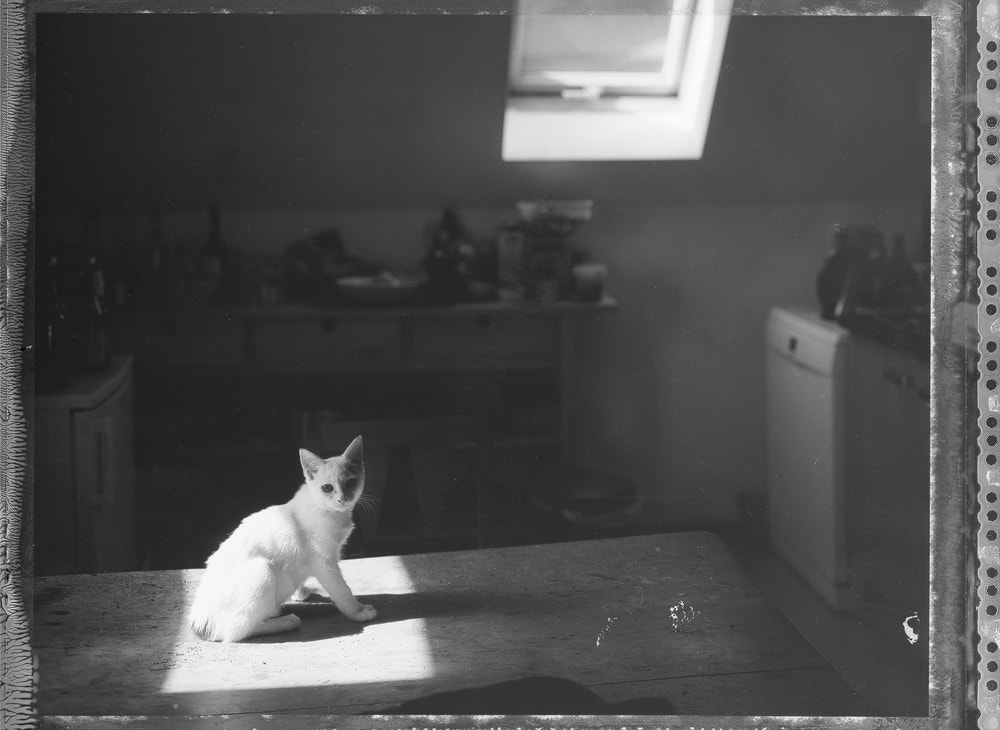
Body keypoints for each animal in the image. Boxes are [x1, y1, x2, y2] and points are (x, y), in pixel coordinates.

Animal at [187, 436, 376, 640]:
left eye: (350, 483)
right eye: (327, 488)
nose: (343, 499)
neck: (326, 510)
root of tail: (199, 619)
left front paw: (301, 593)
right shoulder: (324, 563)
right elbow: (342, 590)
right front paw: (358, 611)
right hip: (262, 571)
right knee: (236, 631)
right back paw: (285, 622)